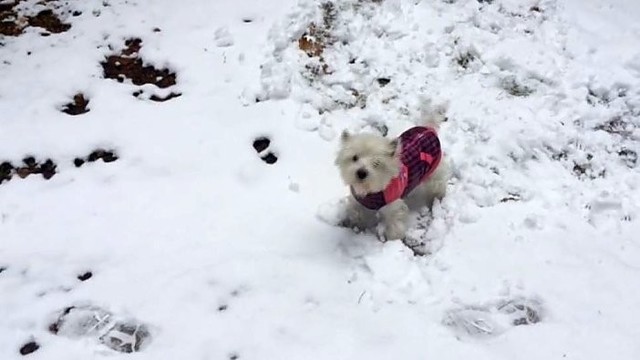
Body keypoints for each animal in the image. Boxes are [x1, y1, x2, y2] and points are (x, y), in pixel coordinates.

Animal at [336, 102, 450, 240]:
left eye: (376, 163)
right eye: (354, 158)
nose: (361, 173)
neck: (371, 192)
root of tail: (429, 128)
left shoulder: (393, 207)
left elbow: (394, 224)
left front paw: (392, 239)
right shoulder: (358, 201)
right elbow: (356, 212)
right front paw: (355, 224)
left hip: (434, 173)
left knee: (438, 186)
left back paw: (436, 199)